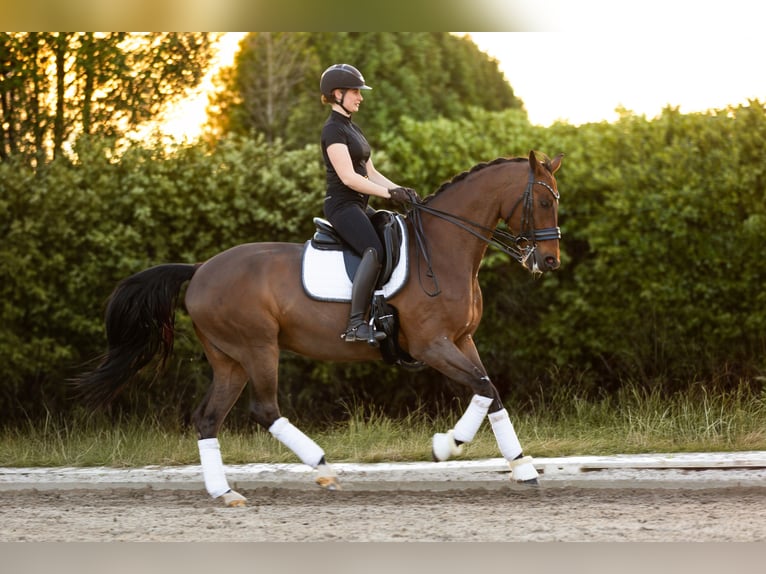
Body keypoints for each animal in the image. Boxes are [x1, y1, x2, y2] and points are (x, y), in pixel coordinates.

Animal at [75, 150, 563, 507]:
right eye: (543, 201)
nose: (549, 261)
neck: (443, 249)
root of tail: (199, 271)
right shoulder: (433, 345)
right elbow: (481, 387)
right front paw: (447, 445)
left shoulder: (462, 339)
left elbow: (490, 390)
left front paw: (522, 467)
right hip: (257, 348)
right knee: (264, 409)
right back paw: (324, 470)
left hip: (229, 359)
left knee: (208, 418)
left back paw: (227, 492)